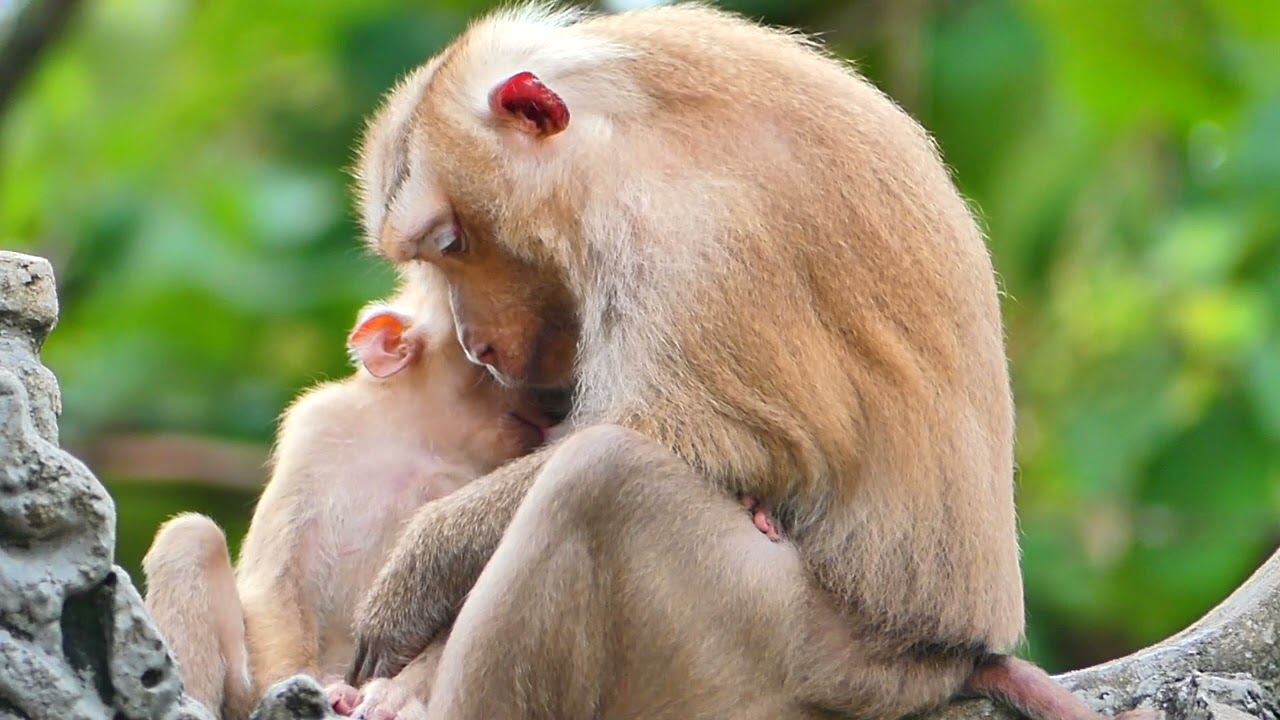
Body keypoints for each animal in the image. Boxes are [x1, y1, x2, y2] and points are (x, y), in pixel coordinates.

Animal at [142, 265, 558, 720]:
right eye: (489, 355)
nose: (555, 400)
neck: (417, 439)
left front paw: (393, 695)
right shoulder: (317, 426)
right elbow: (277, 580)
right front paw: (303, 685)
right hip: (240, 695)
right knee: (191, 536)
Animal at [340, 4, 1162, 720]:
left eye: (451, 242)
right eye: (432, 254)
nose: (476, 343)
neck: (624, 136)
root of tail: (959, 657)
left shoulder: (690, 234)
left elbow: (712, 440)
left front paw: (419, 570)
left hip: (801, 665)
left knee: (602, 482)